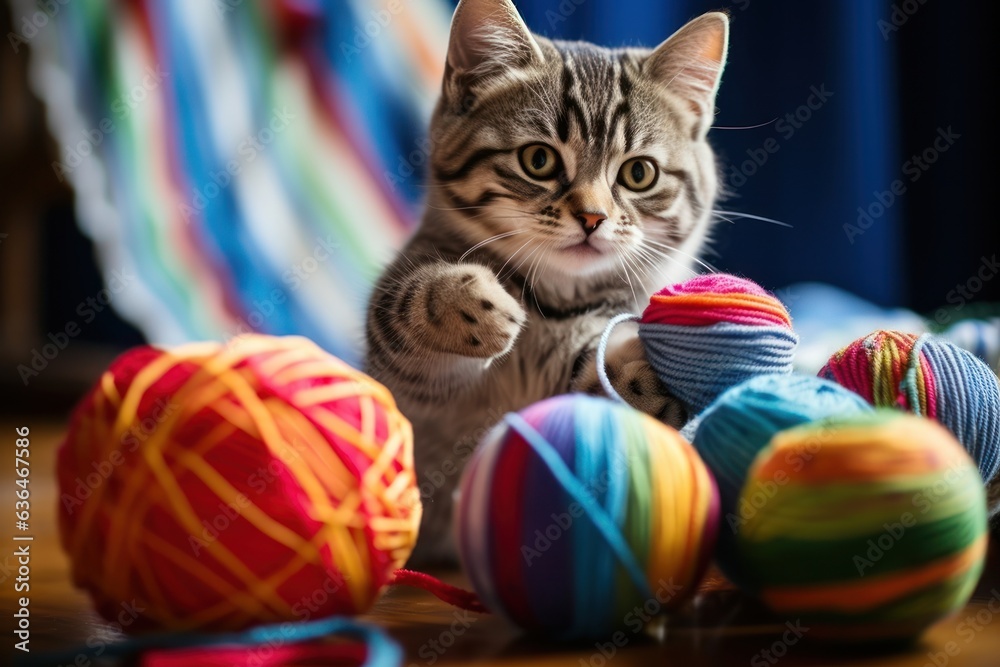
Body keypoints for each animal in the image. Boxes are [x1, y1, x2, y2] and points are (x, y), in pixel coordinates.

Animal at [366, 0, 728, 564]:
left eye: (639, 173)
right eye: (538, 160)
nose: (593, 217)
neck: (553, 303)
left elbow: (595, 367)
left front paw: (648, 386)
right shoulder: (405, 361)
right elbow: (409, 305)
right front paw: (475, 302)